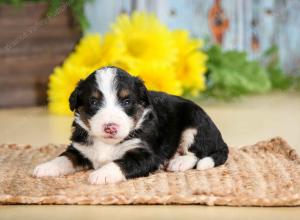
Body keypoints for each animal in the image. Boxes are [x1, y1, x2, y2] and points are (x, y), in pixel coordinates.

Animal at [32, 66, 229, 185]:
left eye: (126, 101)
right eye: (93, 102)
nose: (110, 127)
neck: (107, 143)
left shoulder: (146, 155)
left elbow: (122, 163)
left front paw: (101, 174)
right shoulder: (80, 149)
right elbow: (65, 158)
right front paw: (46, 167)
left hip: (195, 124)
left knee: (197, 153)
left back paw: (178, 162)